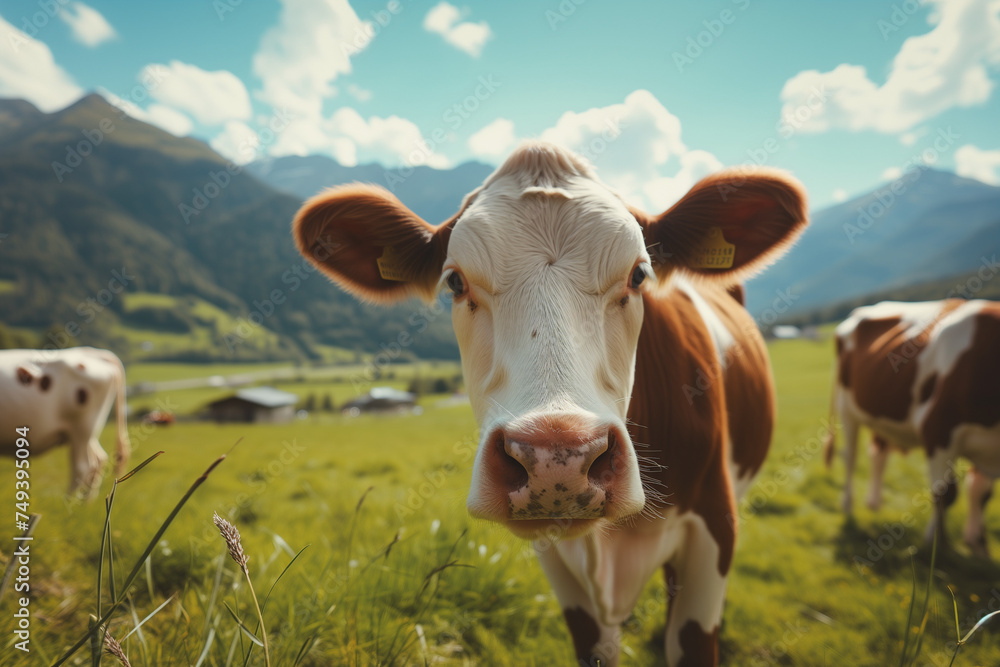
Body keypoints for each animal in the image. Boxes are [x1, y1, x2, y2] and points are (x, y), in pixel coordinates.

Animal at [0, 348, 131, 498]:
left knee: (83, 466)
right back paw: (85, 501)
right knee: (98, 459)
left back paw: (67, 501)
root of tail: (92, 352)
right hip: (87, 432)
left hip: (82, 427)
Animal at [820, 302, 1000, 560]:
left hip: (881, 411)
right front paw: (935, 543)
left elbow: (981, 492)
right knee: (850, 458)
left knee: (878, 454)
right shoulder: (938, 432)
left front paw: (978, 545)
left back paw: (874, 503)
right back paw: (847, 506)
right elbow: (945, 493)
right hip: (848, 410)